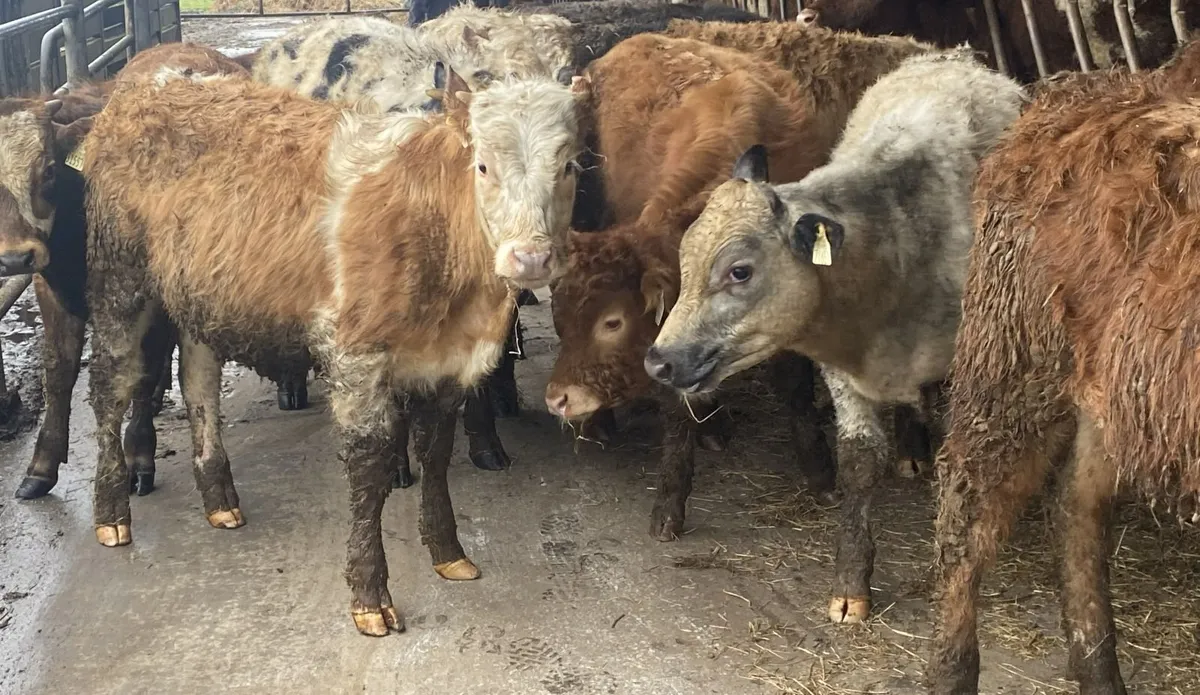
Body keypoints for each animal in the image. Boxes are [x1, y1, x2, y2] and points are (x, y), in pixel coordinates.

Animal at [4, 42, 253, 501]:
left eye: (48, 170)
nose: (14, 260)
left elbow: (144, 368)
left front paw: (138, 456)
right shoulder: (48, 285)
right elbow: (58, 372)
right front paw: (41, 465)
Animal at [80, 64, 587, 636]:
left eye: (569, 165)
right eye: (482, 165)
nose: (531, 258)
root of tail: (155, 80)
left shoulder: (447, 363)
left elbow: (436, 453)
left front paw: (449, 553)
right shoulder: (355, 351)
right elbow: (370, 466)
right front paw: (370, 595)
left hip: (200, 297)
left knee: (199, 383)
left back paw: (219, 498)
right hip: (118, 281)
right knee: (111, 387)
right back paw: (111, 515)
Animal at [545, 26, 940, 544]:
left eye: (612, 322)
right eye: (560, 318)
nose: (558, 398)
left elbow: (795, 386)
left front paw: (820, 471)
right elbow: (677, 407)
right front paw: (670, 500)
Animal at [646, 49, 1024, 625]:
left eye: (739, 271)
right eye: (685, 260)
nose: (659, 361)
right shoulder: (842, 373)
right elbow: (860, 459)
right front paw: (851, 584)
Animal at [928, 40, 1200, 695]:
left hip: (1114, 393)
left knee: (1076, 505)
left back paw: (1098, 668)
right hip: (1016, 363)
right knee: (967, 504)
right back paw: (951, 669)